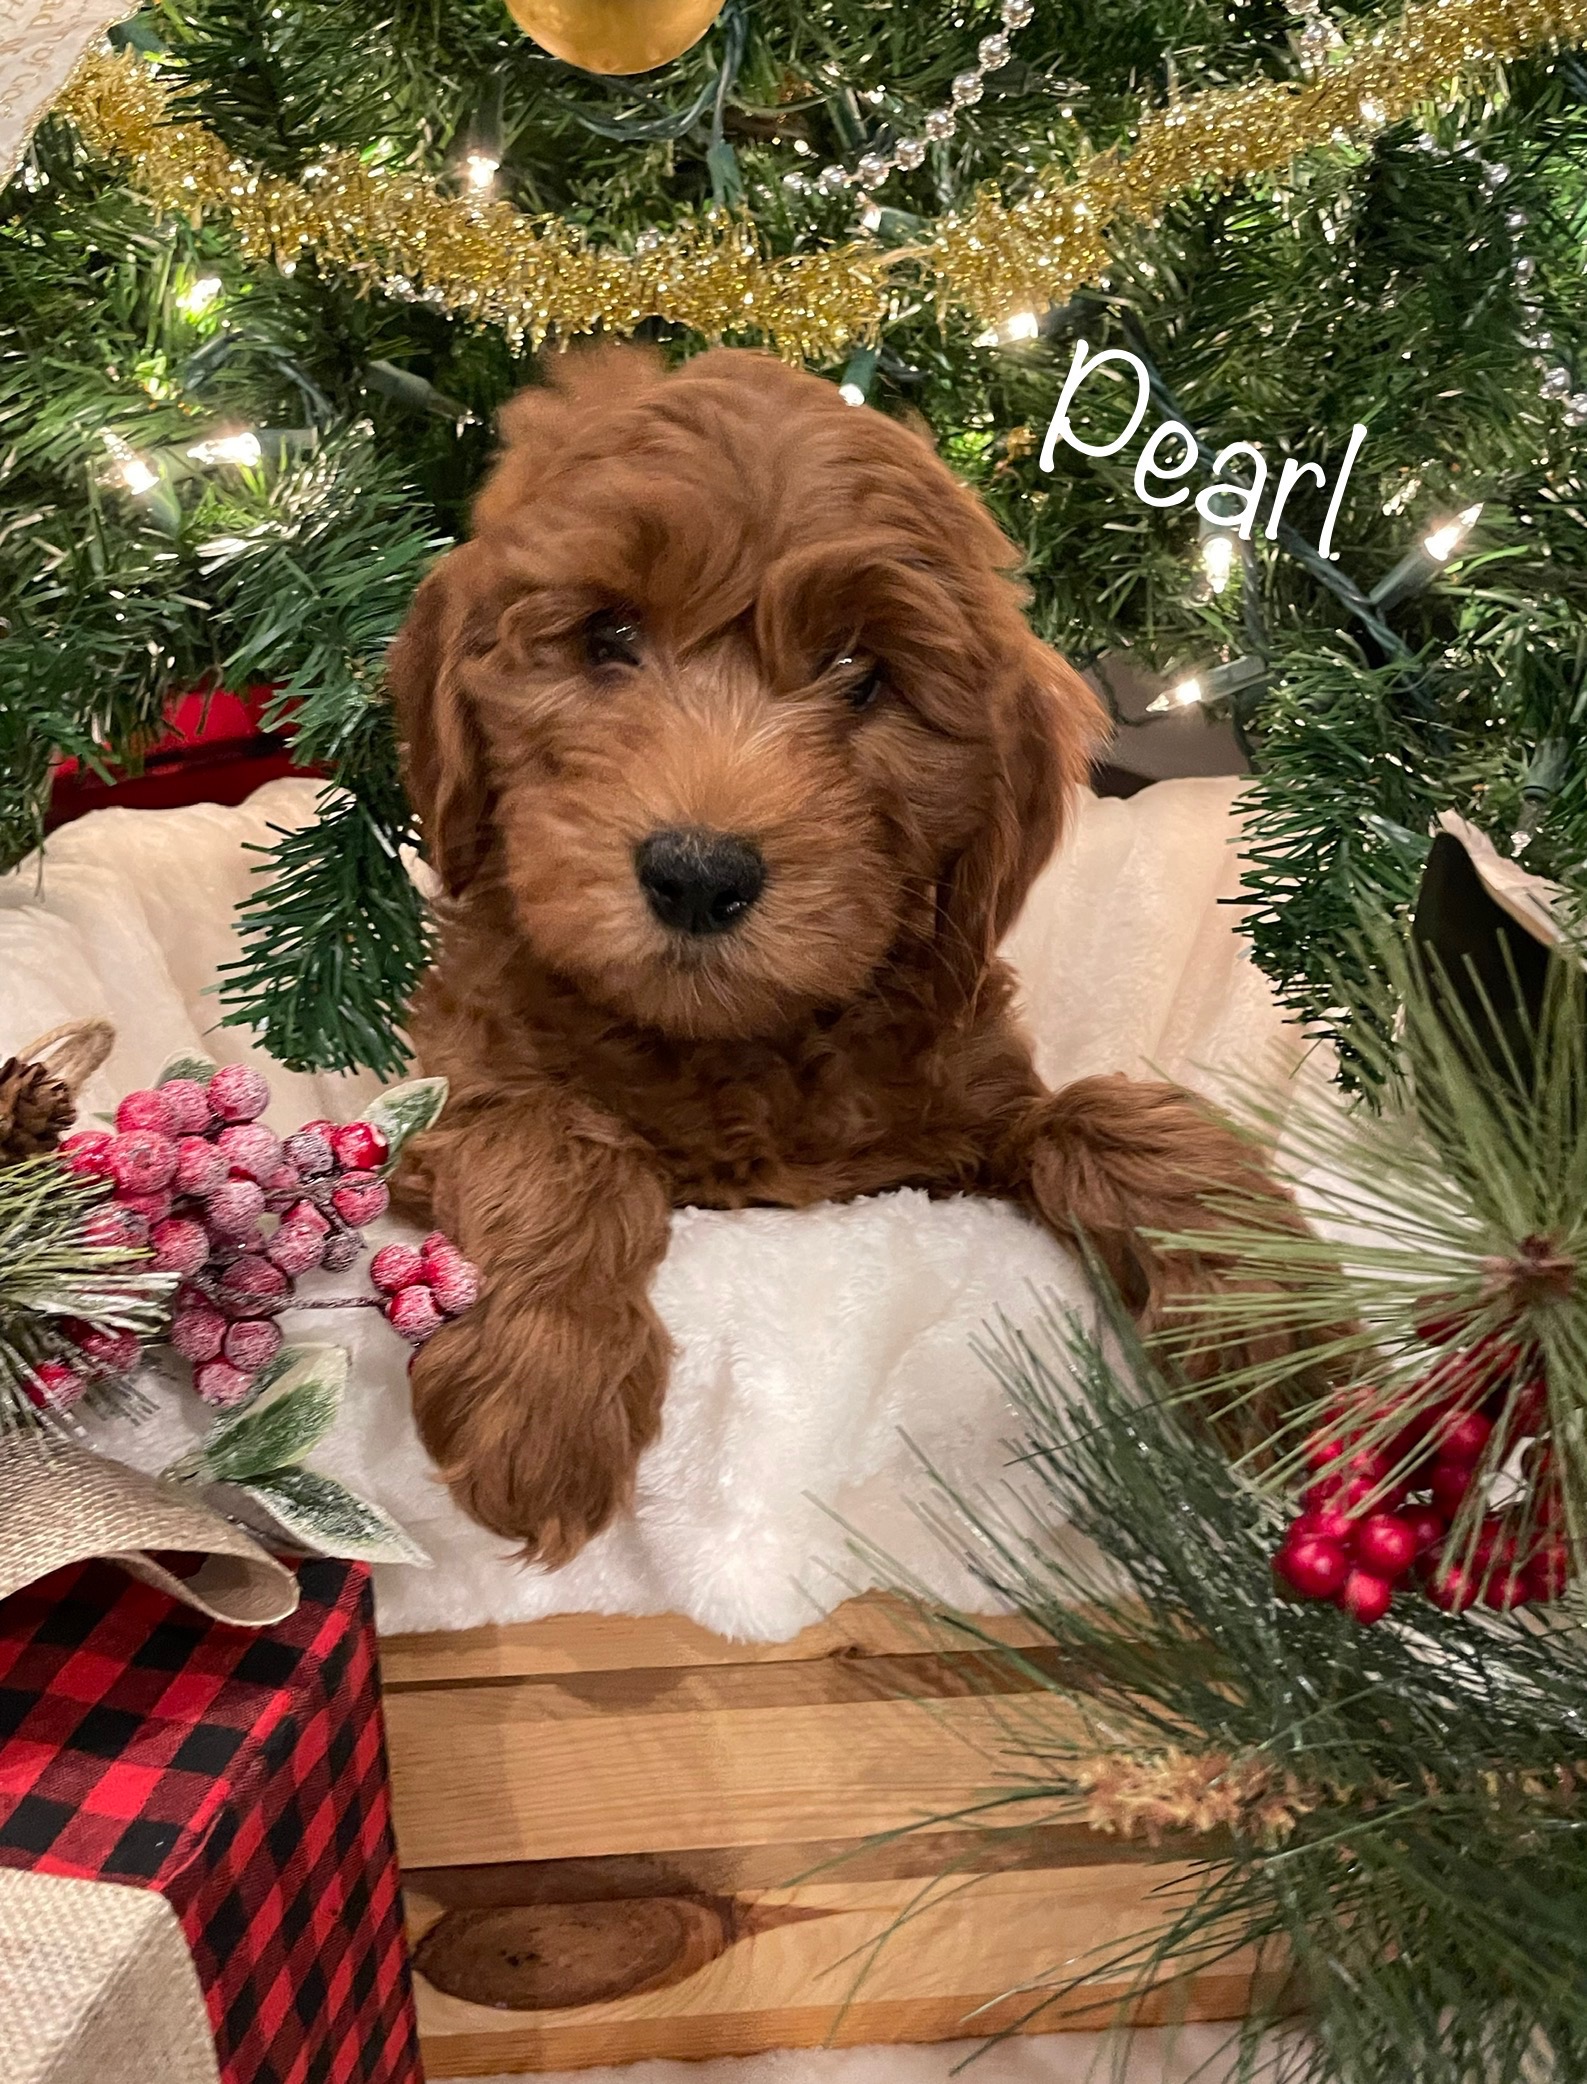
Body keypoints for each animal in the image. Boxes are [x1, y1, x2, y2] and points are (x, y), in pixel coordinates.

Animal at [388, 343, 1295, 1563]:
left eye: (862, 672)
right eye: (606, 637)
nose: (697, 873)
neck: (735, 1049)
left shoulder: (958, 1134)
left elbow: (1104, 1114)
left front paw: (1282, 1335)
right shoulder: (454, 1086)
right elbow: (546, 1132)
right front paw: (544, 1387)